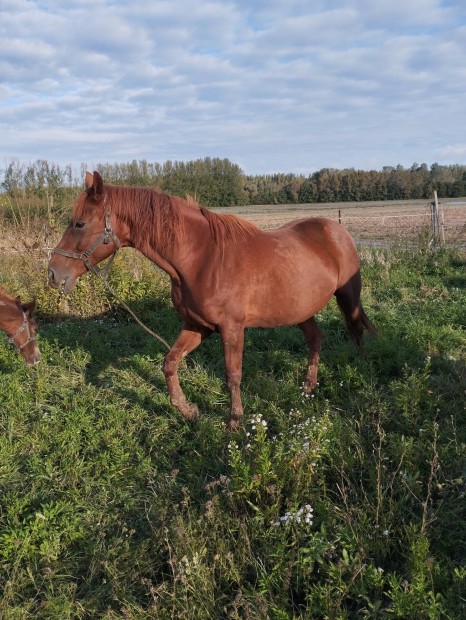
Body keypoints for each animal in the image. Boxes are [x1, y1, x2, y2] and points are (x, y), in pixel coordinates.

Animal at [47, 172, 374, 428]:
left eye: (79, 223)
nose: (53, 273)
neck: (202, 259)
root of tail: (336, 228)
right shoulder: (197, 325)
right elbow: (169, 363)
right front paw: (189, 410)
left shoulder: (232, 328)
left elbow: (233, 374)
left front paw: (234, 422)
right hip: (301, 310)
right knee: (315, 340)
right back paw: (307, 388)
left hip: (348, 297)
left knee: (357, 332)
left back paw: (359, 374)